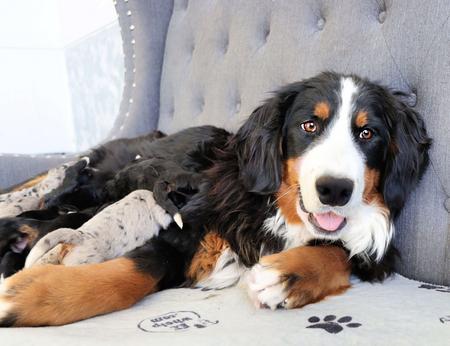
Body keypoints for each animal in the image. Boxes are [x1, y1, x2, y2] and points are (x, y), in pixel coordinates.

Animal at [0, 71, 430, 328]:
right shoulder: (186, 230)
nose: (336, 190)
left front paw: (287, 276)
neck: (278, 214)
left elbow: (338, 252)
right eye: (310, 125)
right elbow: (128, 275)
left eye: (367, 133)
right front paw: (30, 295)